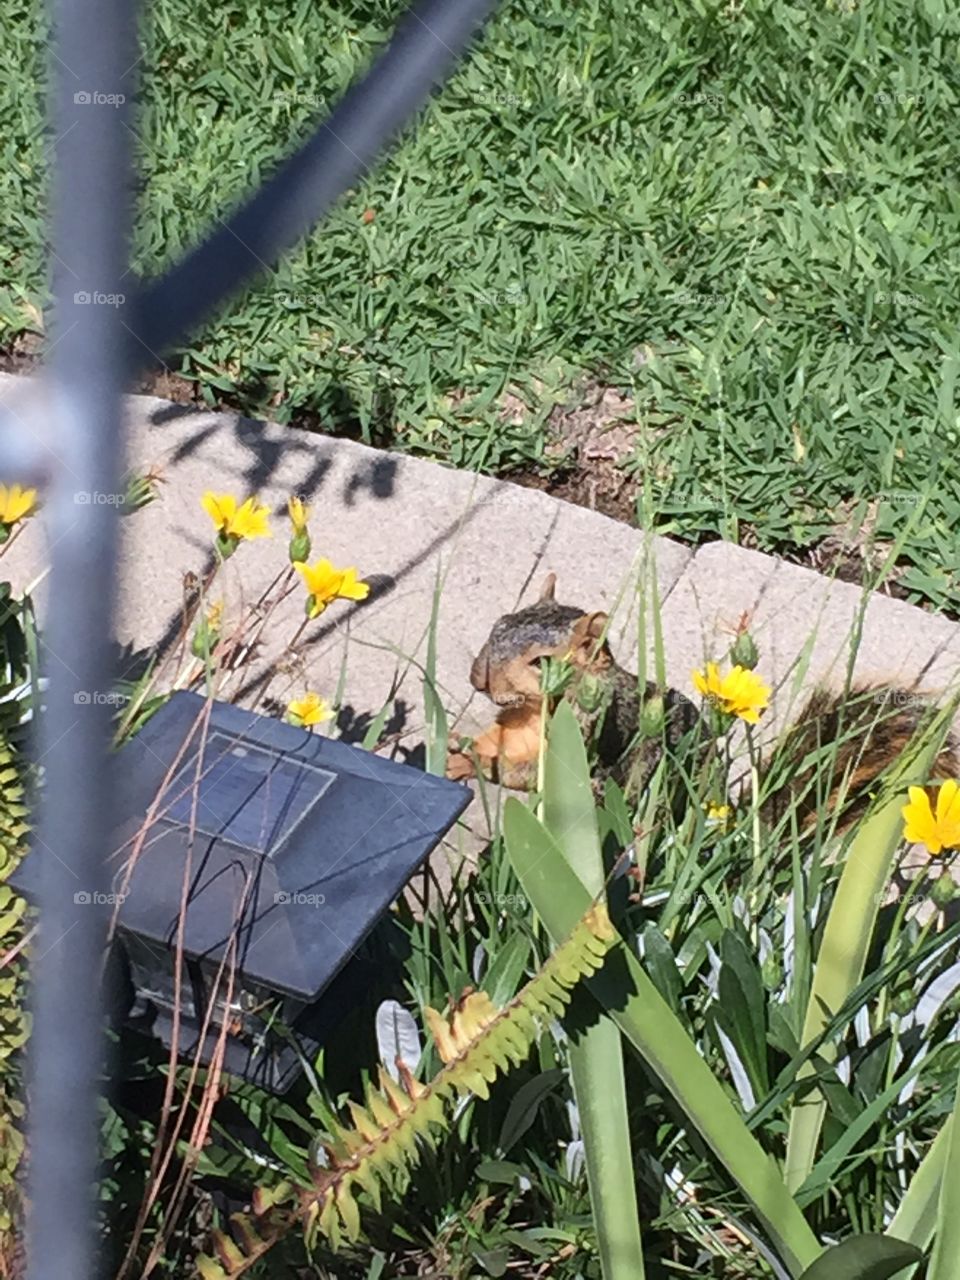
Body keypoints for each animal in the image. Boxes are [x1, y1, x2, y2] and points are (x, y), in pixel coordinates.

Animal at [450, 573, 960, 829]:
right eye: (500, 622)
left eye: (540, 662)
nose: (478, 678)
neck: (535, 711)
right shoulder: (514, 726)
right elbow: (498, 741)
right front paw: (458, 745)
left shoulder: (585, 739)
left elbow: (522, 773)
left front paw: (470, 762)